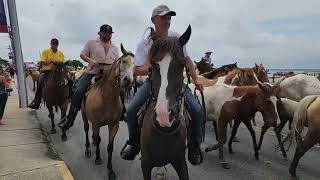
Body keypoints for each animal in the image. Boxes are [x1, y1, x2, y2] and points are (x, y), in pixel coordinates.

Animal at [81, 44, 135, 180]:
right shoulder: (96, 124)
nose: (128, 80)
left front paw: (110, 170)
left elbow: (110, 147)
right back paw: (88, 149)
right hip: (84, 116)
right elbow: (98, 138)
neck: (106, 98)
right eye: (123, 61)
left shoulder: (114, 125)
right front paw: (98, 158)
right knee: (86, 129)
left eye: (135, 65)